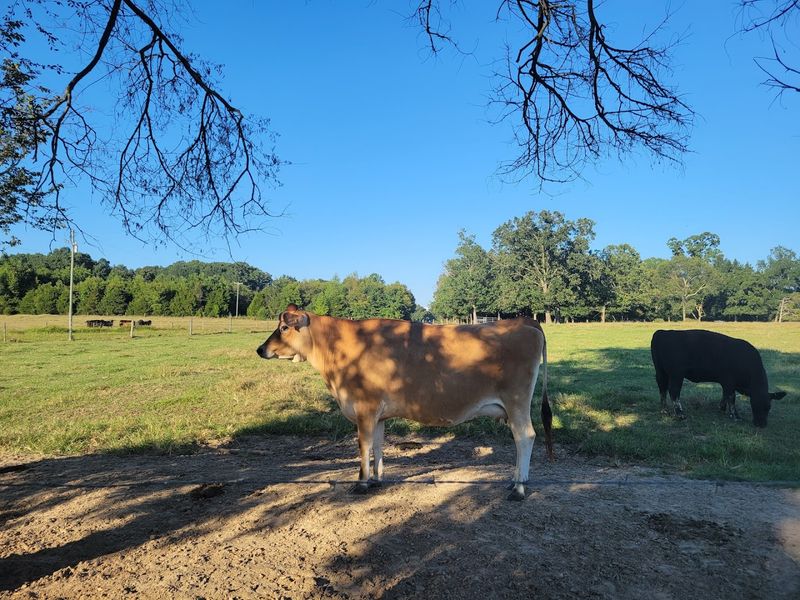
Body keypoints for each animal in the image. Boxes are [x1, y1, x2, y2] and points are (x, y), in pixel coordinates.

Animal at [257, 306, 552, 501]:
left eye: (284, 328)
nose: (260, 349)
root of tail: (525, 322)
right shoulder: (378, 414)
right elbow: (377, 445)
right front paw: (377, 479)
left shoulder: (364, 408)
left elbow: (363, 446)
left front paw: (361, 483)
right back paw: (514, 481)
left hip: (517, 402)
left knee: (525, 437)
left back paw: (519, 487)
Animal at [650, 329, 786, 427]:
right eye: (753, 404)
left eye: (769, 407)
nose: (761, 424)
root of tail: (662, 332)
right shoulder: (730, 381)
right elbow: (731, 397)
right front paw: (735, 416)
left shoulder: (726, 383)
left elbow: (725, 395)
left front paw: (722, 408)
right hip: (676, 374)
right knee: (673, 391)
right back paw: (680, 415)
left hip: (661, 372)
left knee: (662, 389)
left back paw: (664, 410)